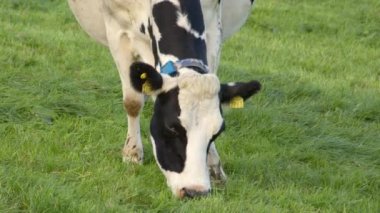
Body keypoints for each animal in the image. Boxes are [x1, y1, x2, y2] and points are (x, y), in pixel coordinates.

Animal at [67, 0, 258, 198]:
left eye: (217, 133)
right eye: (171, 129)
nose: (195, 192)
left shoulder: (213, 27)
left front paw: (214, 168)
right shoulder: (118, 31)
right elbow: (133, 102)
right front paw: (132, 153)